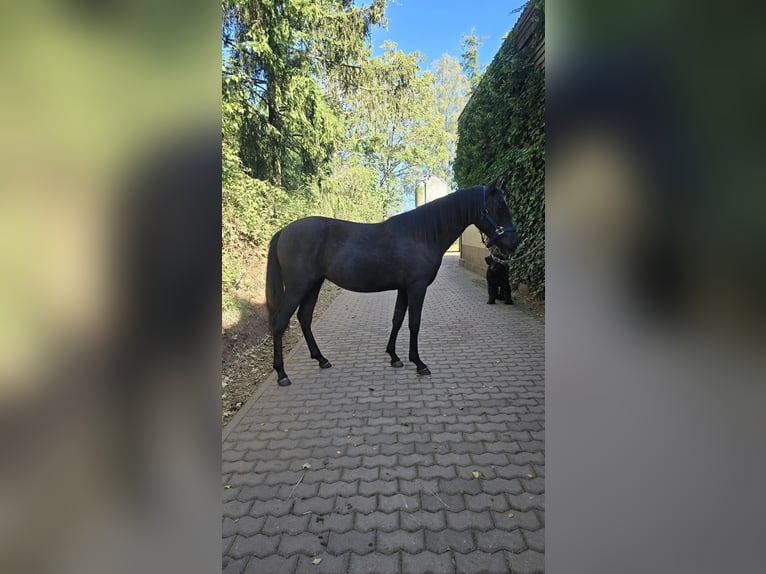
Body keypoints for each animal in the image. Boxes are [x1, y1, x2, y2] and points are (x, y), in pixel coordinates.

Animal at [265, 175, 520, 386]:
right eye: (499, 206)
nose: (513, 243)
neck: (420, 235)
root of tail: (283, 232)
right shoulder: (416, 288)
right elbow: (414, 323)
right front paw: (419, 363)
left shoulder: (403, 289)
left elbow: (397, 319)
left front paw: (394, 357)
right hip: (298, 287)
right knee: (280, 322)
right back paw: (282, 374)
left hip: (313, 285)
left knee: (304, 318)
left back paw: (321, 359)